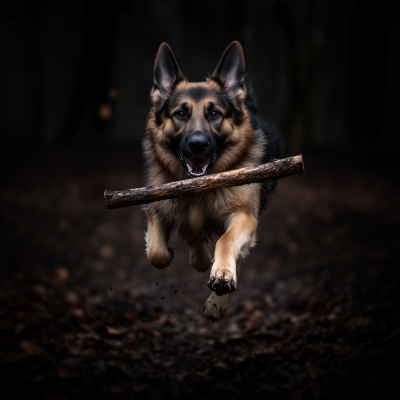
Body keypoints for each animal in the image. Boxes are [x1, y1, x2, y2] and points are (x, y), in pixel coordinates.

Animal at [142, 42, 282, 320]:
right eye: (181, 114)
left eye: (215, 113)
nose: (197, 145)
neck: (199, 187)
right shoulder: (157, 206)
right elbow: (157, 253)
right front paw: (191, 256)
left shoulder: (244, 216)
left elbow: (225, 241)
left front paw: (222, 275)